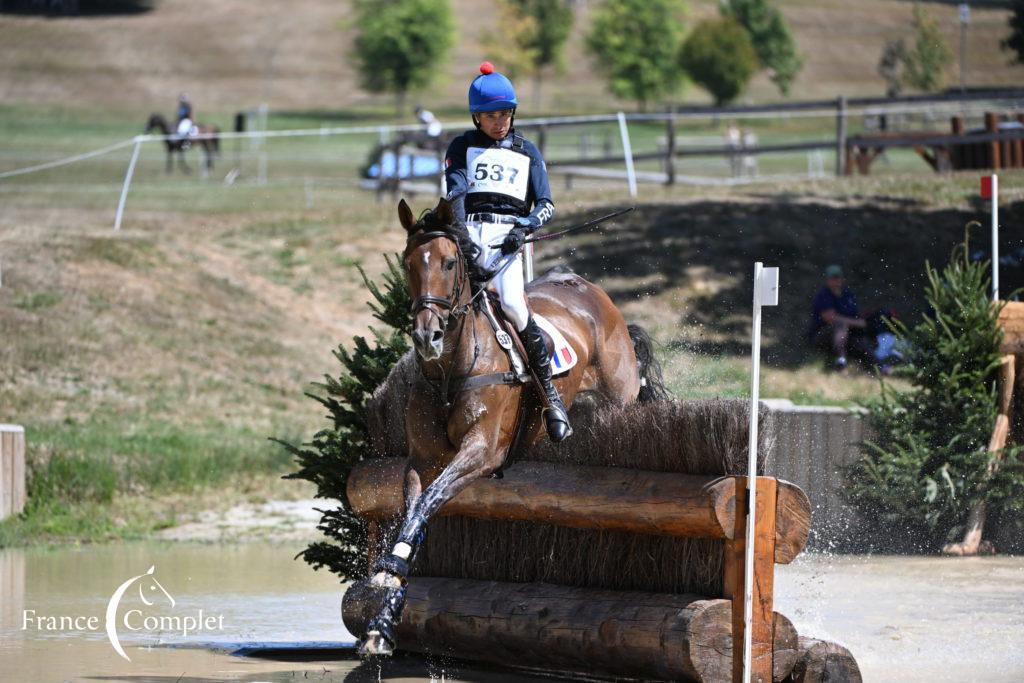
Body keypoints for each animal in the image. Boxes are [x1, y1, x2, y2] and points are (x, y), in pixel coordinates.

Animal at [358, 196, 663, 655]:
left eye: (449, 263)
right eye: (408, 263)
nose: (427, 337)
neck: (451, 368)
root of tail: (589, 289)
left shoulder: (481, 452)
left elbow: (430, 500)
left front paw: (389, 568)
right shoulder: (422, 460)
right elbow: (417, 509)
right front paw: (384, 615)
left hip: (619, 395)